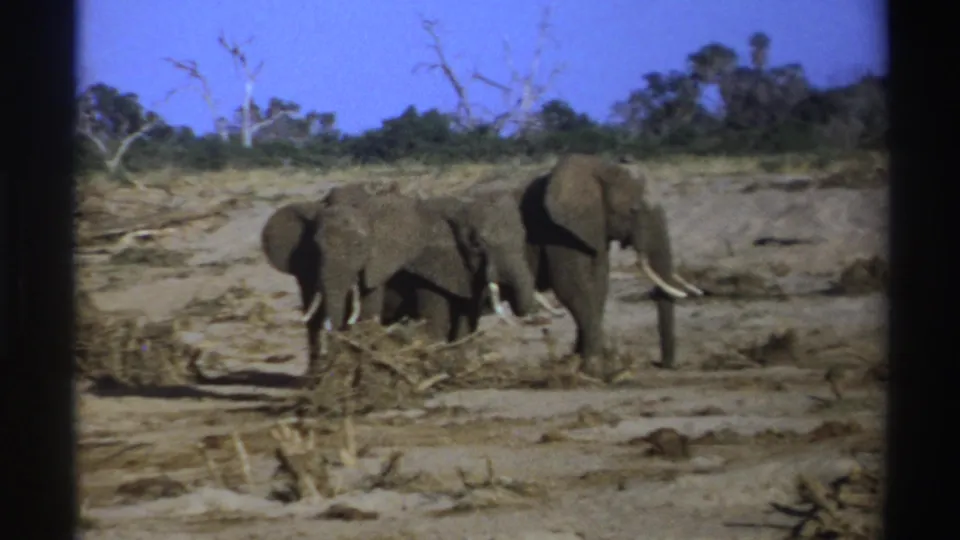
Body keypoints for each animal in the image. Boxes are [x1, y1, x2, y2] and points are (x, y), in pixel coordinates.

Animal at [468, 153, 703, 376]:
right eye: (634, 210)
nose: (662, 365)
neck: (601, 168)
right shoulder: (557, 230)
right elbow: (571, 285)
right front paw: (593, 367)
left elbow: (598, 282)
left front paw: (579, 360)